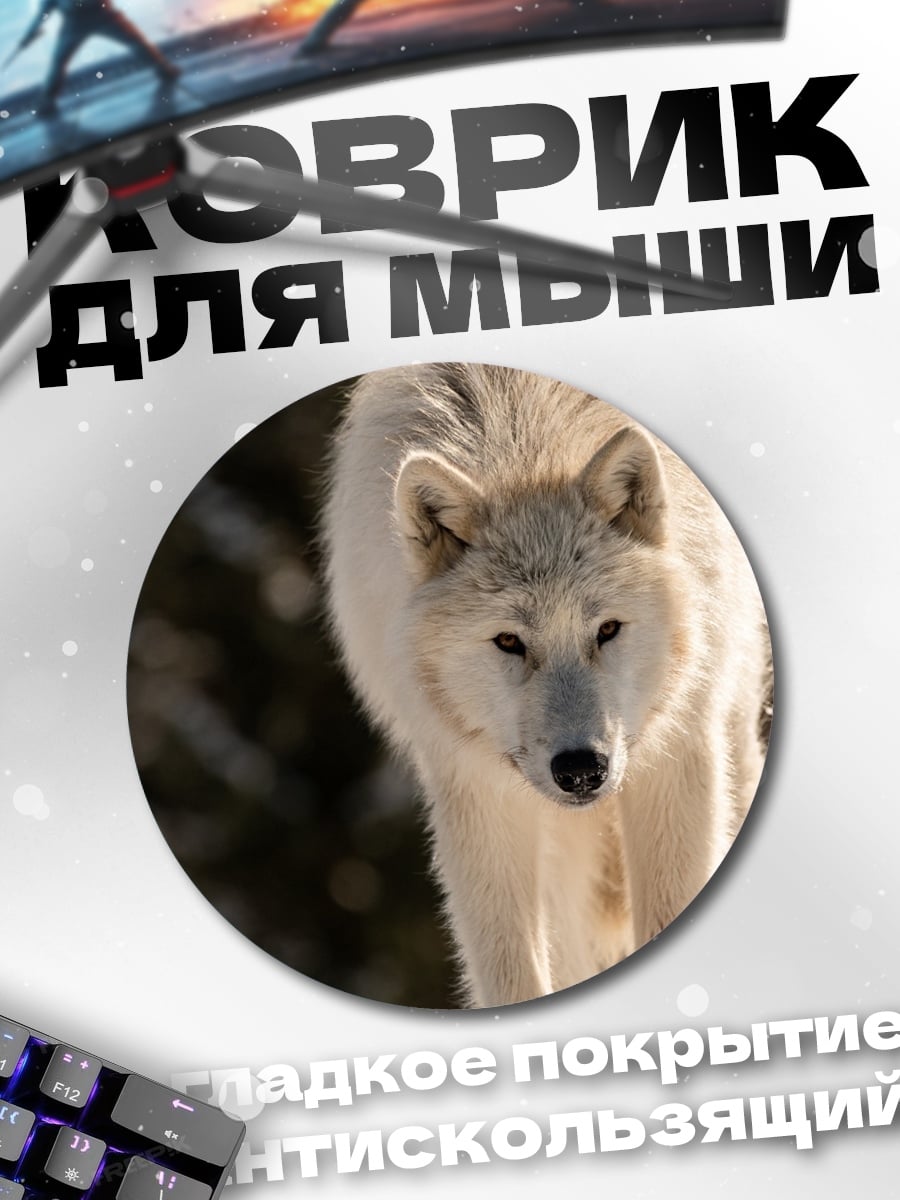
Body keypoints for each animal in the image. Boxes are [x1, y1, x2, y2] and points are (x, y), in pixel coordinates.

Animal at [322, 363, 771, 1008]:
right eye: (509, 641)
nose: (581, 770)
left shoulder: (678, 754)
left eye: (607, 629)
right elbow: (511, 976)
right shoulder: (474, 786)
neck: (522, 439)